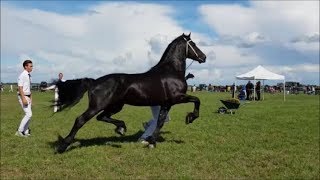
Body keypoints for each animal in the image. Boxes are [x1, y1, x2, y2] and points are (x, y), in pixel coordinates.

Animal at [56, 33, 206, 153]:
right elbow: (197, 100)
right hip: (97, 106)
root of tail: (94, 82)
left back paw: (121, 128)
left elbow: (160, 122)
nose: (203, 57)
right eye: (193, 44)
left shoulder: (166, 104)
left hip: (116, 105)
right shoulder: (177, 98)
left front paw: (151, 142)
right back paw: (63, 146)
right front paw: (190, 118)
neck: (171, 71)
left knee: (102, 117)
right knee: (80, 120)